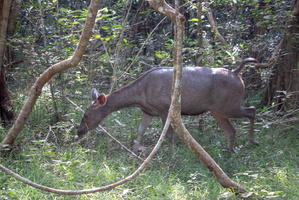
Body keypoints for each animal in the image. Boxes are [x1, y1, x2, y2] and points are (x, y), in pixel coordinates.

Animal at [77, 57, 260, 156]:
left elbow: (169, 136)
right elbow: (140, 131)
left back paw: (252, 140)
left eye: (86, 114)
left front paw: (171, 157)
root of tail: (237, 73)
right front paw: (132, 153)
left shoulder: (165, 109)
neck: (140, 95)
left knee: (251, 110)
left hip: (227, 106)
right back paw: (228, 154)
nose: (79, 131)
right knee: (232, 130)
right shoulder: (148, 111)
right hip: (218, 111)